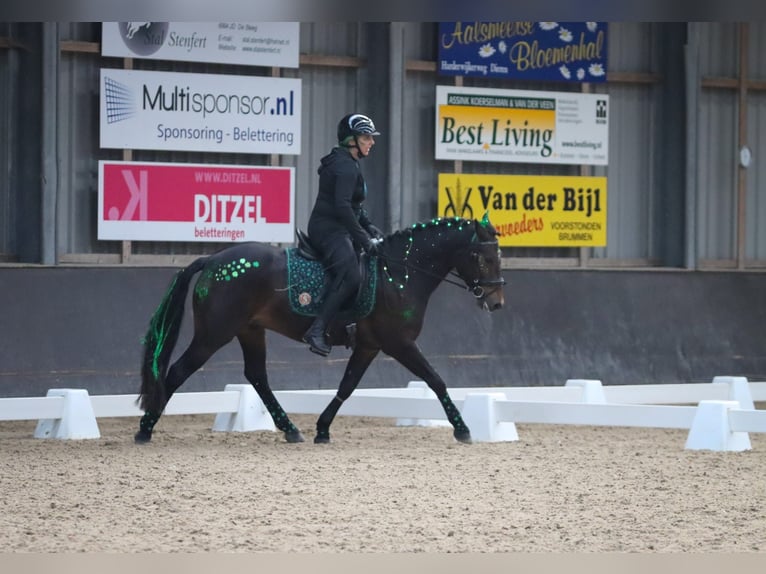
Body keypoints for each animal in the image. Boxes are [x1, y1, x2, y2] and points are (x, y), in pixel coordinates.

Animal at [135, 216, 508, 446]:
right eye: (482, 257)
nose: (497, 302)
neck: (399, 273)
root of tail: (213, 259)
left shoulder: (370, 345)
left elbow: (347, 386)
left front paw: (323, 428)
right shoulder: (399, 343)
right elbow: (436, 380)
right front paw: (462, 429)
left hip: (250, 330)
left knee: (257, 376)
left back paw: (291, 430)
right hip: (214, 334)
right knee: (178, 372)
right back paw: (144, 430)